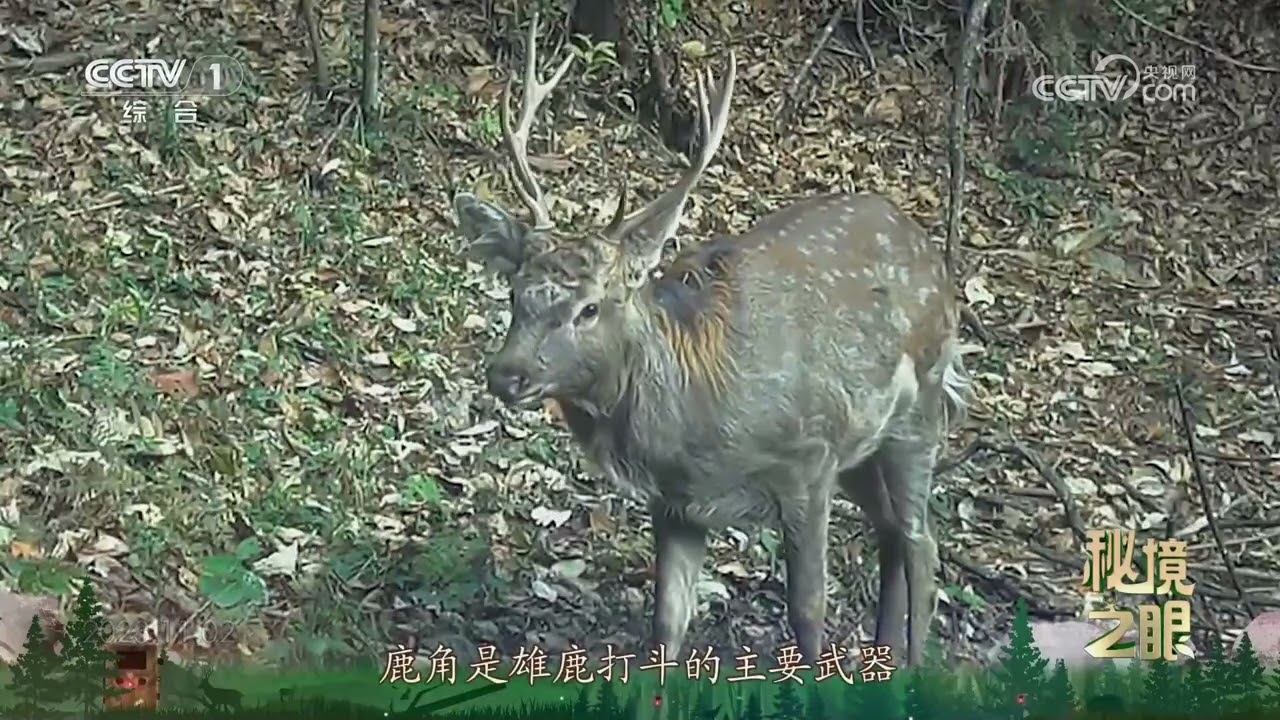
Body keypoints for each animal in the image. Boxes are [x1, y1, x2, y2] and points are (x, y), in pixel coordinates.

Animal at [451, 13, 972, 668]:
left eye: (590, 307)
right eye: (516, 294)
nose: (507, 373)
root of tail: (936, 260)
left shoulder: (808, 461)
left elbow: (808, 612)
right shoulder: (677, 505)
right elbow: (667, 625)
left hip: (918, 411)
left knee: (922, 541)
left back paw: (911, 664)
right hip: (864, 449)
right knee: (892, 534)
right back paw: (883, 657)